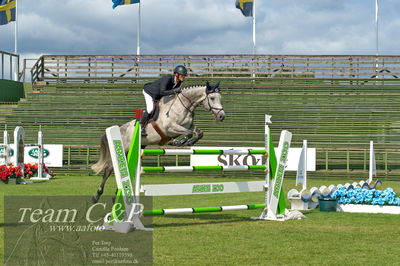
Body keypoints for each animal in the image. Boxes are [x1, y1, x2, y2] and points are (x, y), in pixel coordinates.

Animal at [90, 82, 225, 203]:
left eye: (220, 98)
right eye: (212, 98)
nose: (222, 116)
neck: (183, 106)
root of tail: (120, 129)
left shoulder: (188, 126)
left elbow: (198, 133)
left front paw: (186, 142)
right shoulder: (170, 128)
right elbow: (189, 132)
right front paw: (180, 142)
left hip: (137, 148)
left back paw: (116, 197)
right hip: (125, 148)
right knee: (108, 169)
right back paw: (96, 196)